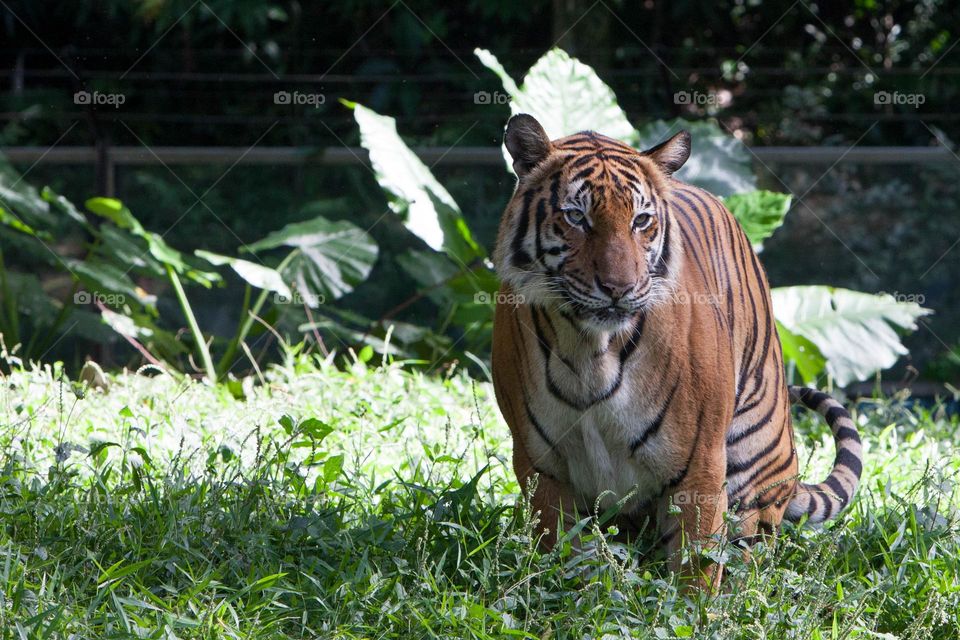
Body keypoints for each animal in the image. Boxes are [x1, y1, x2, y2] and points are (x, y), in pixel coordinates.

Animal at [490, 113, 863, 585]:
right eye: (576, 217)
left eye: (641, 220)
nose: (619, 288)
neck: (592, 349)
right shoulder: (542, 464)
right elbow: (559, 556)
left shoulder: (698, 463)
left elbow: (696, 567)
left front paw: (695, 603)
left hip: (754, 462)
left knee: (748, 556)